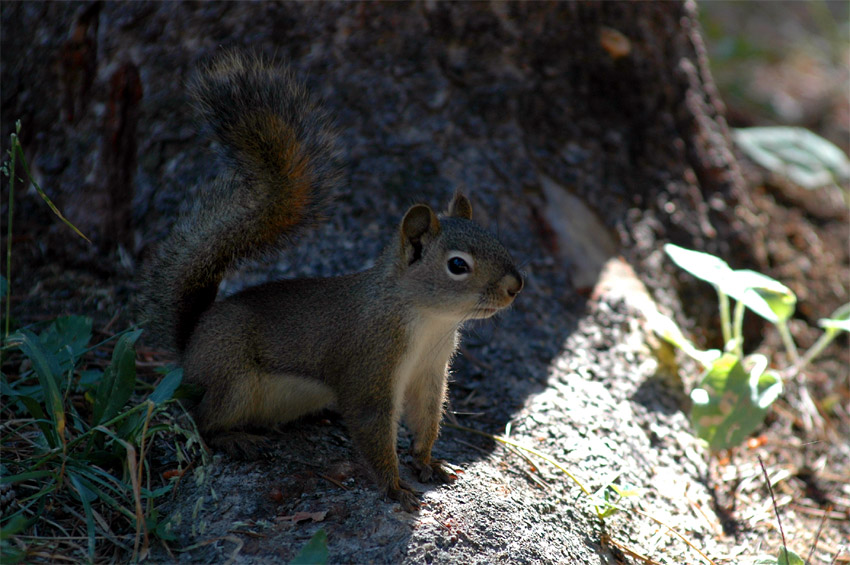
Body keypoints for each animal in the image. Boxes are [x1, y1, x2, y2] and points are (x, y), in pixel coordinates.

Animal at [138, 54, 520, 512]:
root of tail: (190, 346)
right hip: (233, 380)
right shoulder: (370, 366)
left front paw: (428, 462)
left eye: (497, 239)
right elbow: (373, 427)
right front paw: (394, 487)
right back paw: (236, 438)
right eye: (458, 265)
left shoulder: (430, 373)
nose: (516, 285)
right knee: (203, 420)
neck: (429, 320)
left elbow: (426, 419)